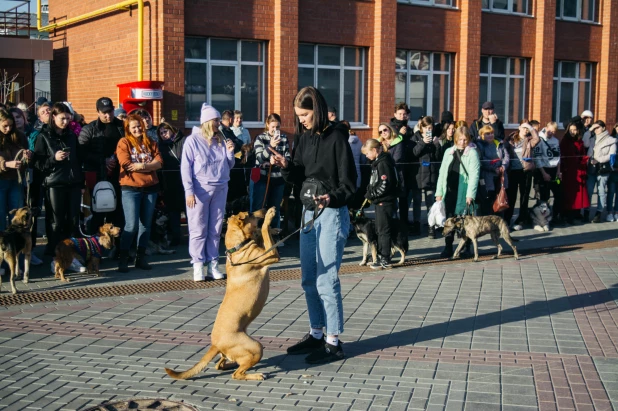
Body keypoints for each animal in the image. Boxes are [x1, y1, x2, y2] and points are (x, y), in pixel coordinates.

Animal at [164, 208, 280, 382]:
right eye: (250, 213)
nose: (264, 209)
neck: (237, 248)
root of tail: (216, 345)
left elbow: (261, 234)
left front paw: (272, 229)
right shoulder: (271, 255)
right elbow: (264, 231)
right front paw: (269, 218)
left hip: (237, 351)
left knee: (221, 364)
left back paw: (233, 364)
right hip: (256, 347)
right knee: (236, 374)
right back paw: (255, 374)